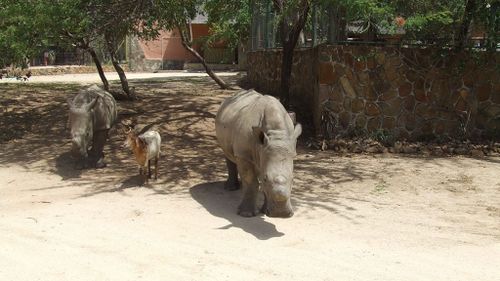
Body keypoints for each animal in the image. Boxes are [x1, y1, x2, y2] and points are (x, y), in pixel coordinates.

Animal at [214, 89, 300, 217]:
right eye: (265, 179)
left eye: (293, 179)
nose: (281, 214)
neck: (276, 135)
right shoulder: (243, 154)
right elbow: (250, 180)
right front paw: (246, 214)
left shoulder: (266, 149)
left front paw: (265, 212)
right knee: (228, 154)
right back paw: (231, 189)